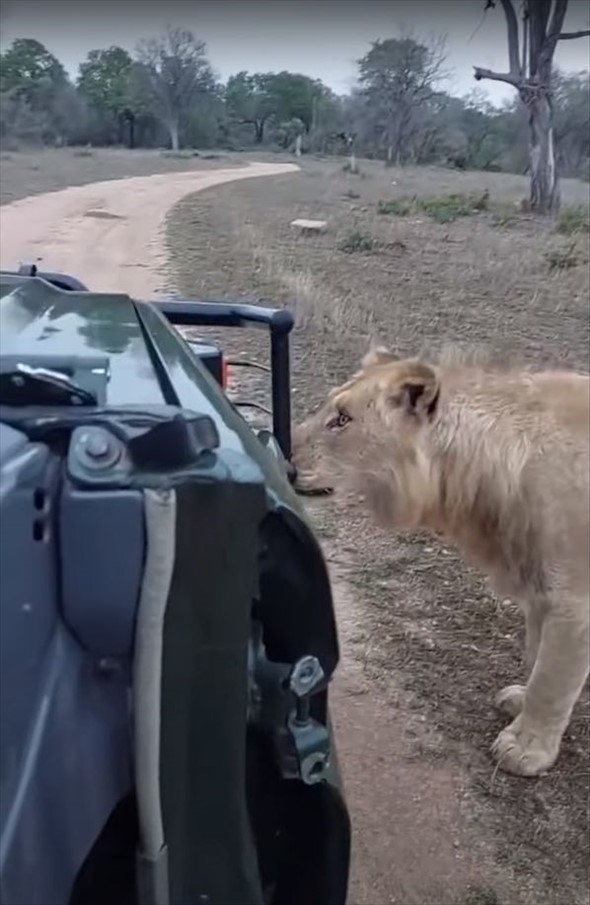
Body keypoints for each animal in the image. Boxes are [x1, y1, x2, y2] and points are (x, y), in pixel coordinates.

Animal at [294, 348, 588, 776]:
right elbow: (538, 658)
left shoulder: (574, 601)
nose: (280, 456)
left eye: (343, 418)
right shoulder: (541, 590)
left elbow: (551, 680)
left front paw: (526, 749)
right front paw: (520, 701)